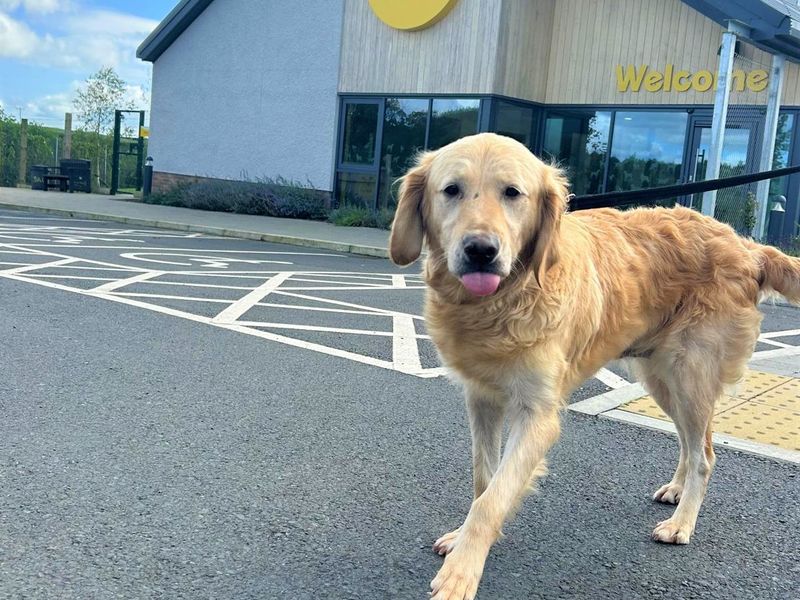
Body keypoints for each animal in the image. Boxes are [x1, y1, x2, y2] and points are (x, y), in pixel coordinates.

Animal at [390, 134, 800, 596]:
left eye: (512, 193)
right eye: (451, 190)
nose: (481, 251)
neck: (502, 303)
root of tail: (744, 245)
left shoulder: (537, 416)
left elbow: (493, 498)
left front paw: (461, 571)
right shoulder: (481, 400)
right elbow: (484, 479)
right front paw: (464, 540)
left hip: (690, 375)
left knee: (705, 455)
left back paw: (681, 524)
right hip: (662, 380)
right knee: (692, 442)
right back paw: (677, 489)